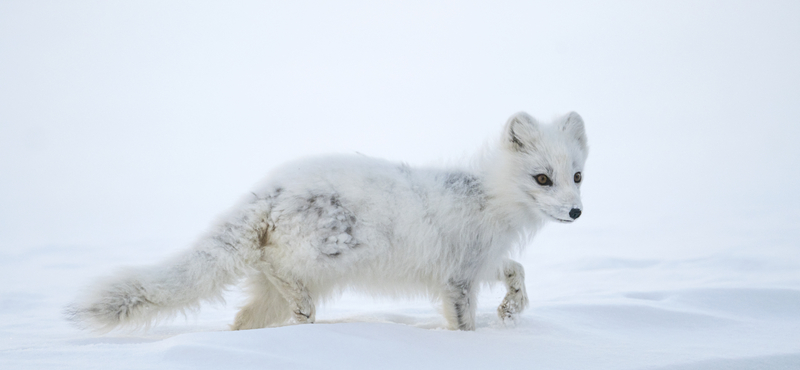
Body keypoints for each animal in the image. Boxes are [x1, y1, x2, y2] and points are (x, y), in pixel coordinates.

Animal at [69, 111, 588, 330]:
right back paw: (302, 310)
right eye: (543, 178)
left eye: (577, 175)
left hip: (274, 291)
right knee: (279, 271)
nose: (575, 212)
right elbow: (464, 325)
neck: (488, 198)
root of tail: (270, 187)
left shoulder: (486, 261)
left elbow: (517, 271)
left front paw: (512, 308)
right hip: (329, 254)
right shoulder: (458, 279)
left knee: (243, 318)